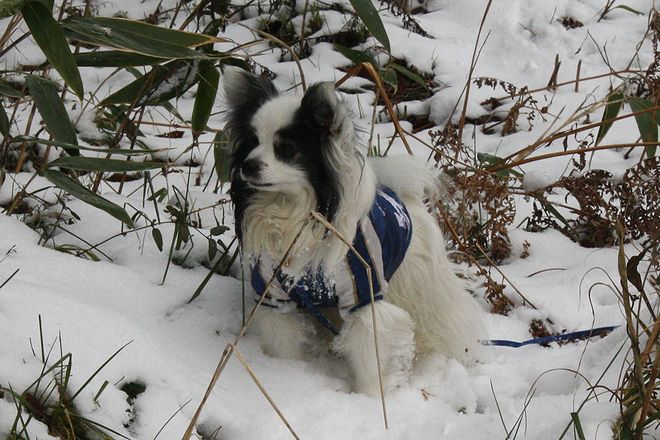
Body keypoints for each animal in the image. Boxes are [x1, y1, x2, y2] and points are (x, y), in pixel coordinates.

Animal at [222, 67, 485, 396]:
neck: (293, 212)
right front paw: (288, 376)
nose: (248, 165)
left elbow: (370, 355)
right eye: (252, 143)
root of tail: (406, 196)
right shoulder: (275, 296)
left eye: (286, 150)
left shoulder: (363, 297)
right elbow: (284, 344)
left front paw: (370, 397)